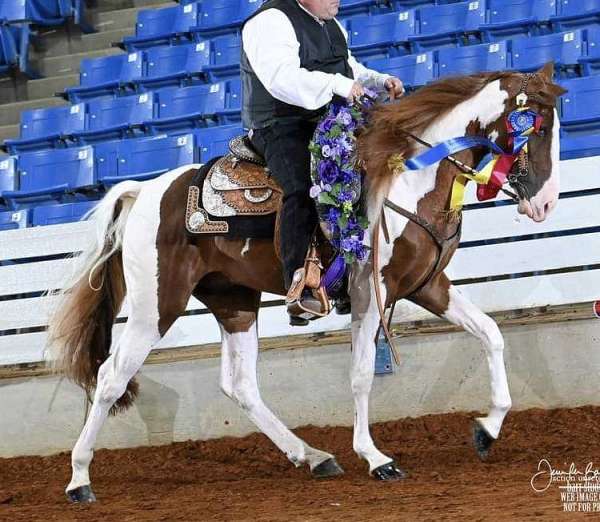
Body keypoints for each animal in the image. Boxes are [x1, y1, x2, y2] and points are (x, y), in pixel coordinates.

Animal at [48, 62, 568, 500]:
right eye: (538, 127)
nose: (545, 204)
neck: (409, 180)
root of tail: (143, 191)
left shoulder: (428, 286)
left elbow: (491, 333)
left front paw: (488, 428)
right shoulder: (369, 291)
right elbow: (361, 373)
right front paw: (376, 457)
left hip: (234, 302)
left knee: (241, 385)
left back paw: (313, 456)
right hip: (156, 306)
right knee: (111, 377)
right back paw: (78, 479)